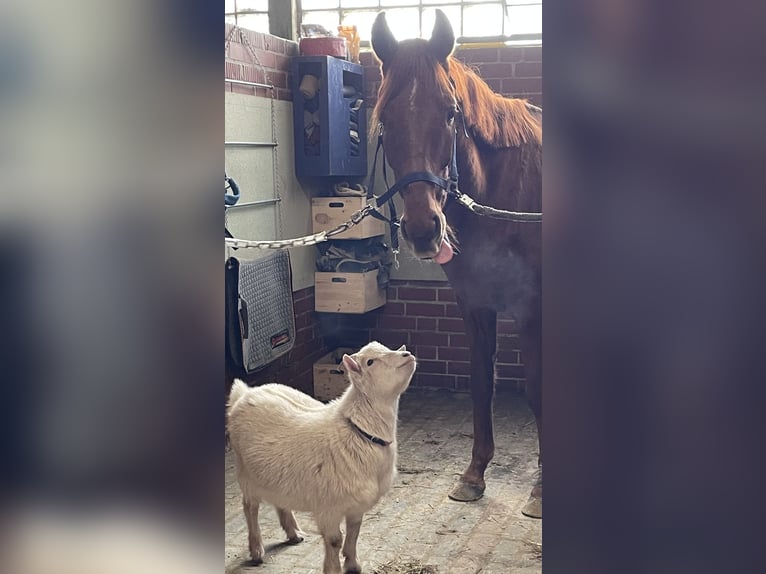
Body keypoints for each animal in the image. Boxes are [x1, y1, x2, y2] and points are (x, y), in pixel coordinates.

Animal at [228, 344, 420, 572]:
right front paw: (333, 568)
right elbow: (335, 540)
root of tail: (244, 393)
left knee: (279, 501)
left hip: (276, 476)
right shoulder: (328, 508)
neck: (359, 430)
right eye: (370, 362)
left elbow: (354, 532)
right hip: (246, 474)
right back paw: (257, 550)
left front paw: (353, 564)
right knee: (250, 508)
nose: (407, 355)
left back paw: (293, 533)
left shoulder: (356, 505)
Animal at [374, 10, 544, 516]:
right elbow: (480, 383)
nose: (423, 228)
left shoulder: (530, 308)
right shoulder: (475, 305)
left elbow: (535, 387)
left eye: (451, 113)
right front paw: (473, 475)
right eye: (385, 119)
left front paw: (541, 488)